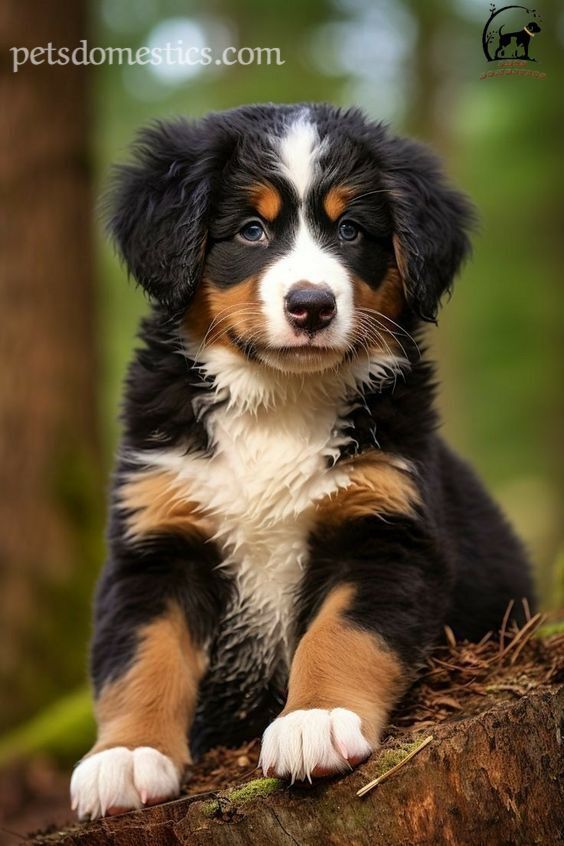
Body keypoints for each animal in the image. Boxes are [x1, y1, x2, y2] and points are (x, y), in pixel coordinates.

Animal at [69, 102, 532, 820]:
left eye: (351, 230)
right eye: (251, 230)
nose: (311, 305)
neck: (278, 402)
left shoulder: (386, 531)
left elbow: (342, 634)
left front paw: (315, 720)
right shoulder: (156, 544)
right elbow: (141, 656)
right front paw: (125, 756)